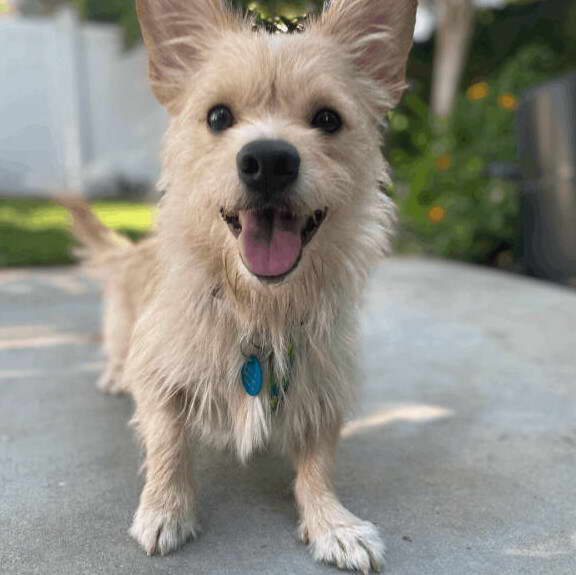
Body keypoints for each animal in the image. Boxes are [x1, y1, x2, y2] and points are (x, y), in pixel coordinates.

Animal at [65, 2, 416, 572]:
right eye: (218, 116)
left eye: (327, 119)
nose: (269, 160)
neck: (258, 306)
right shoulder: (159, 375)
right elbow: (167, 444)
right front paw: (165, 509)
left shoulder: (323, 384)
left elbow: (319, 463)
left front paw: (333, 522)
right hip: (121, 326)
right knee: (118, 352)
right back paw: (114, 376)